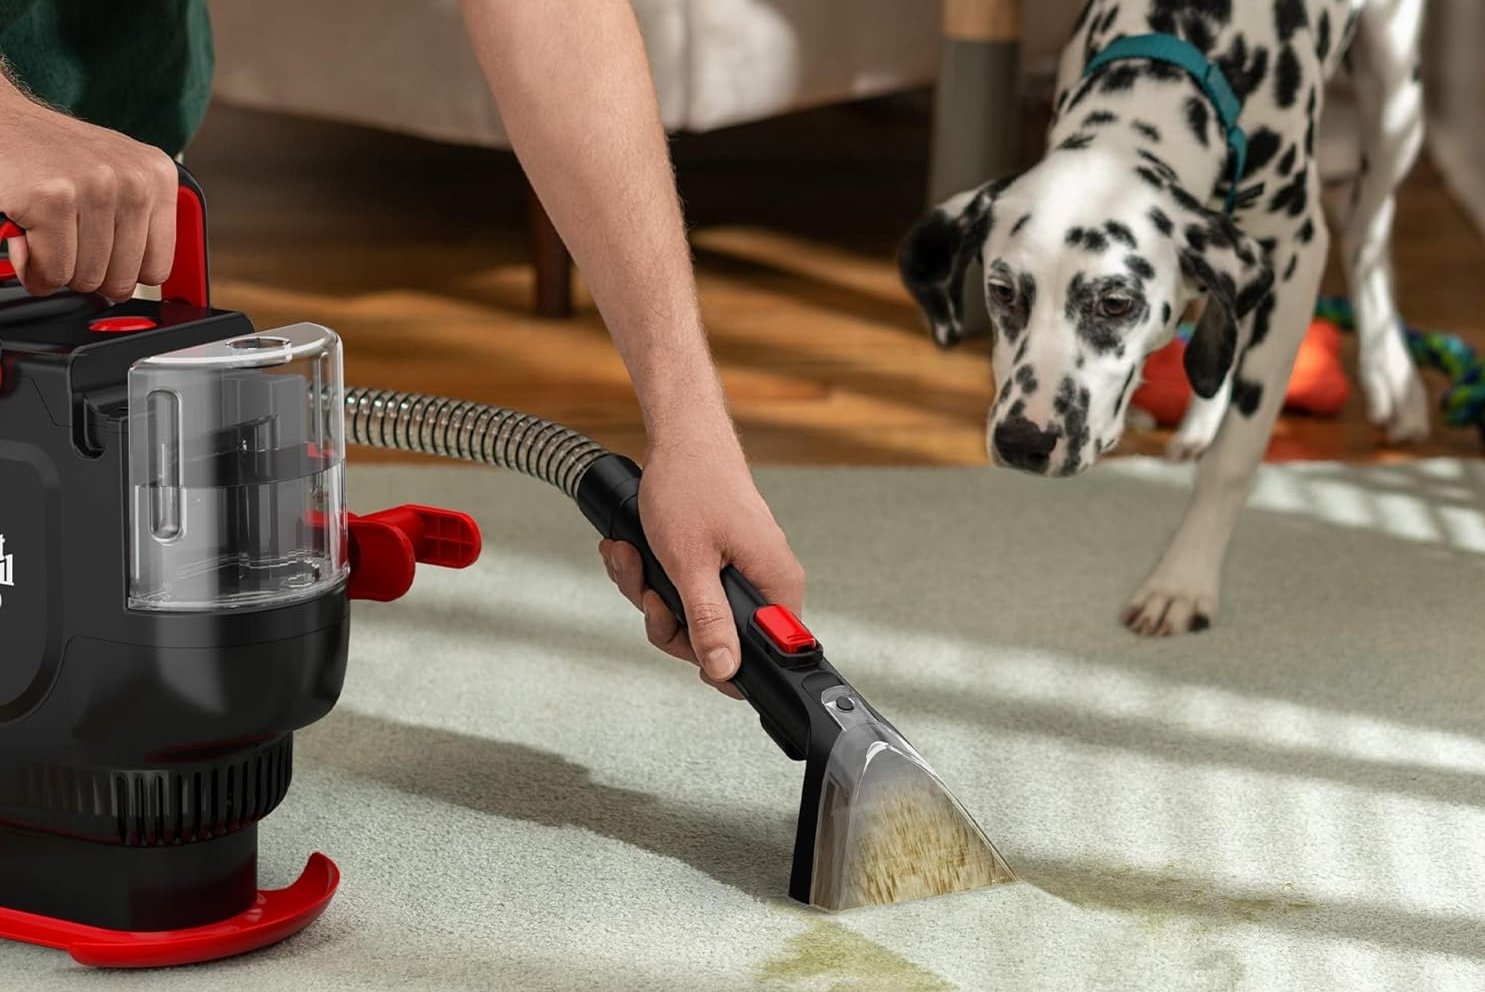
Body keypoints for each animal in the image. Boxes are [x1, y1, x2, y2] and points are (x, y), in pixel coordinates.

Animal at [891, 0, 1425, 635]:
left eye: (1116, 303)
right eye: (1001, 291)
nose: (1023, 441)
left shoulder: (1296, 260)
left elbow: (1234, 458)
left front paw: (1183, 581)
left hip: (1395, 96)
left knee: (1367, 231)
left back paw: (1394, 380)